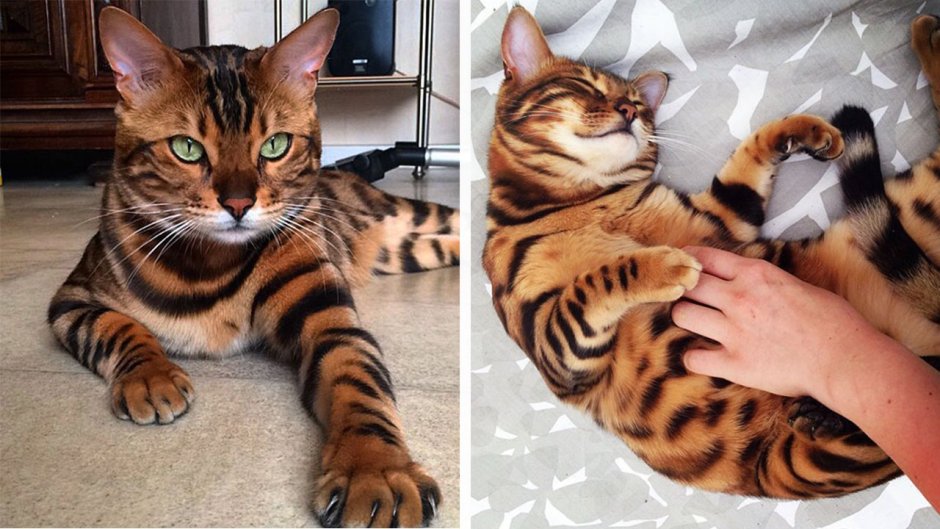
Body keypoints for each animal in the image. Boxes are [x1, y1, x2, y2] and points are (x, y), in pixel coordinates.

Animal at [46, 7, 457, 527]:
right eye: (186, 148)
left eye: (275, 145)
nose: (239, 203)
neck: (207, 264)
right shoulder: (72, 298)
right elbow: (117, 326)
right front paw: (150, 376)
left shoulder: (328, 315)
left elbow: (358, 377)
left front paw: (376, 469)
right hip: (408, 250)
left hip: (407, 214)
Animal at [482, 7, 940, 499]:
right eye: (585, 86)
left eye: (640, 104)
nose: (630, 111)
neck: (588, 200)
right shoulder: (556, 349)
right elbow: (595, 281)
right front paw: (667, 263)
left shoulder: (722, 219)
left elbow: (748, 157)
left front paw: (805, 130)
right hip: (803, 459)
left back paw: (924, 33)